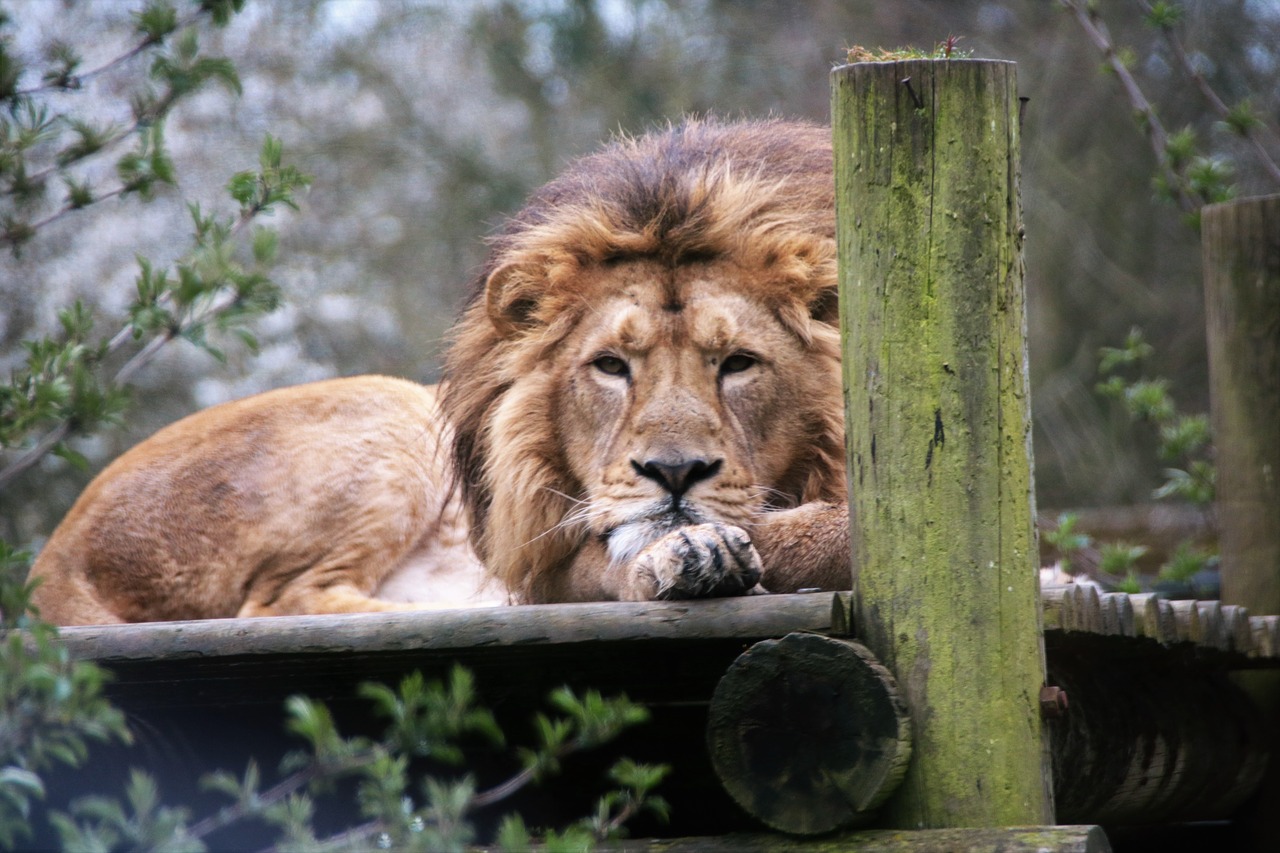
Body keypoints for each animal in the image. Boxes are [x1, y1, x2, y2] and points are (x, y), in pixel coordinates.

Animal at [27, 117, 849, 625]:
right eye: (611, 367)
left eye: (738, 364)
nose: (673, 473)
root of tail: (55, 556)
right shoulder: (548, 556)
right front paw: (686, 548)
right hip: (392, 415)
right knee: (278, 601)